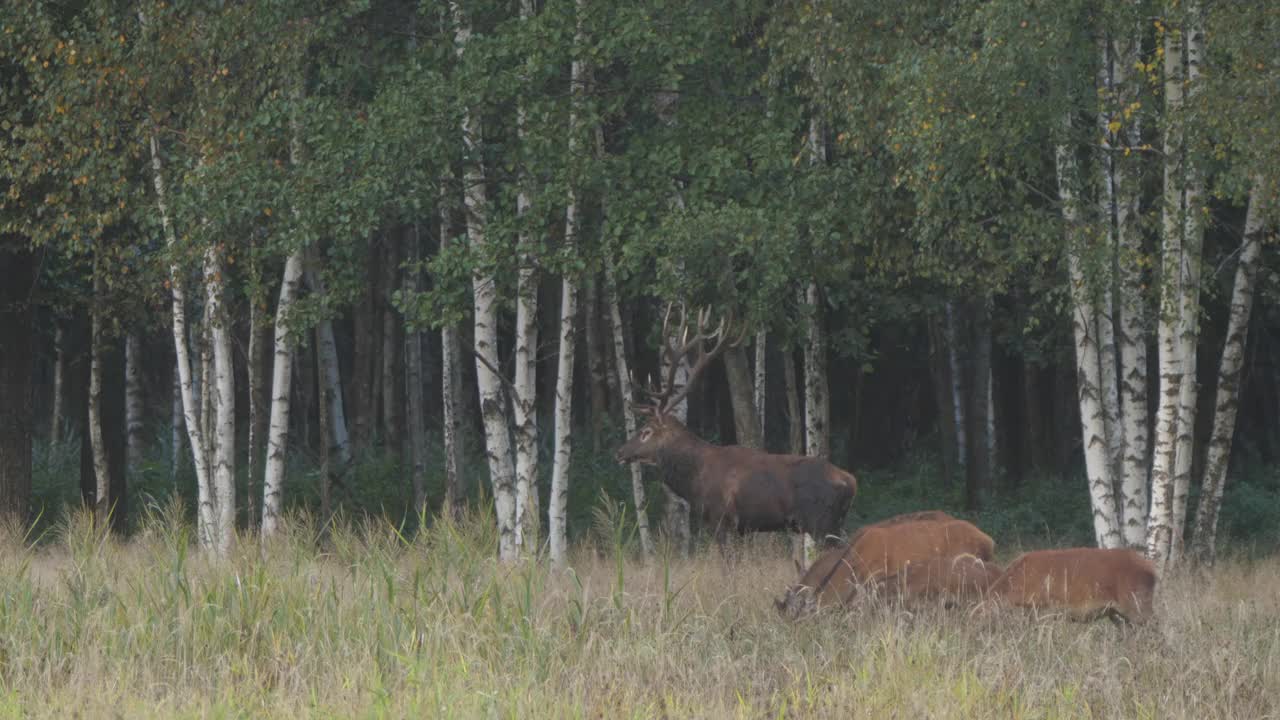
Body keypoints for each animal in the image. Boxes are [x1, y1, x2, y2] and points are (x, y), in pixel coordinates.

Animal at [611, 302, 855, 548]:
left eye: (646, 431)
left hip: (821, 522)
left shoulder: (721, 518)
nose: (620, 452)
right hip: (835, 524)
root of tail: (851, 482)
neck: (694, 480)